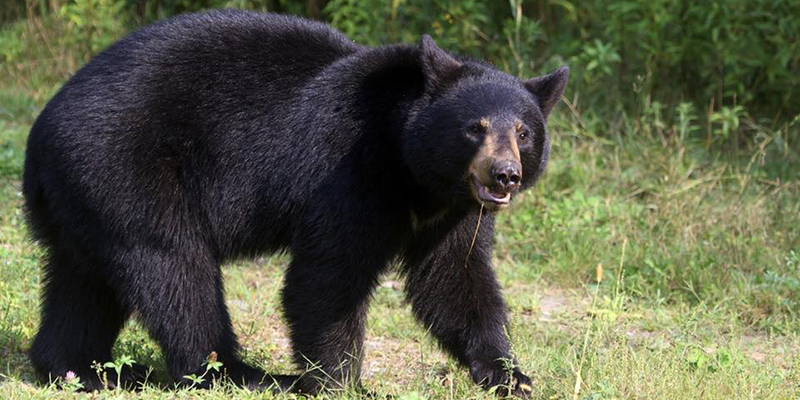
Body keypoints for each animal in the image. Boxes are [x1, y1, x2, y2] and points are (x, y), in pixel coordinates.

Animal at [23, 9, 568, 397]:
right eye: (475, 128)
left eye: (524, 132)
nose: (505, 175)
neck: (416, 174)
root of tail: (41, 134)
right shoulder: (348, 170)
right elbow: (328, 274)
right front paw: (341, 382)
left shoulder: (454, 211)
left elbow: (454, 279)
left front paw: (508, 373)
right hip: (129, 169)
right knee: (174, 270)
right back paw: (239, 373)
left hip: (85, 198)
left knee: (83, 283)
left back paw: (78, 369)